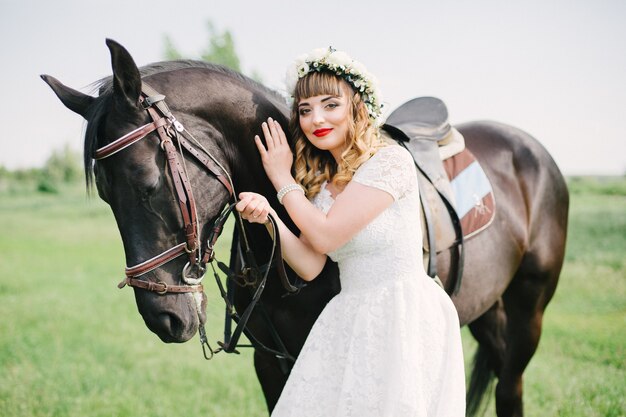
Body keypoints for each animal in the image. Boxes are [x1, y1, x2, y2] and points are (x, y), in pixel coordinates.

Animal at [40, 39, 564, 416]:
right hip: (486, 308)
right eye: (105, 195)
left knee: (511, 387)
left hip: (529, 311)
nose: (161, 317)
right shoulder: (272, 363)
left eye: (147, 184)